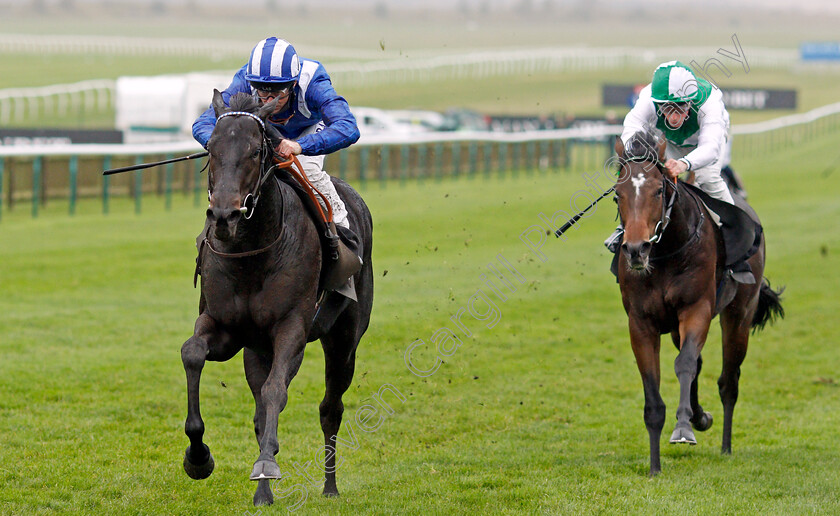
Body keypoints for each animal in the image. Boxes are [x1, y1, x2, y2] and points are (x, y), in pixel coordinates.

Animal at [181, 90, 374, 506]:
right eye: (212, 150)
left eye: (256, 151)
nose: (224, 215)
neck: (251, 254)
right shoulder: (224, 328)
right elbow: (192, 353)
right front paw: (198, 458)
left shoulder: (292, 329)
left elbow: (275, 392)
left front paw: (266, 466)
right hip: (257, 349)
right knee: (261, 408)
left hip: (344, 339)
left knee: (330, 407)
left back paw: (328, 487)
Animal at [612, 132, 784, 476]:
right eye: (617, 195)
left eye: (658, 190)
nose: (636, 250)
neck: (666, 253)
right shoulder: (640, 322)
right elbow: (653, 390)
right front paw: (655, 466)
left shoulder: (697, 309)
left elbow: (686, 365)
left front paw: (683, 428)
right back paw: (699, 415)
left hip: (739, 314)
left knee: (728, 381)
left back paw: (725, 445)